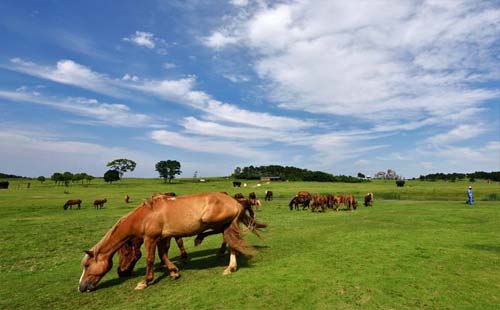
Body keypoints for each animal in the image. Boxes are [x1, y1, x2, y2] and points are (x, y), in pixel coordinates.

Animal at [78, 193, 264, 292]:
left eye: (87, 265)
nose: (81, 287)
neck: (145, 216)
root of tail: (236, 201)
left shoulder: (150, 239)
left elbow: (150, 259)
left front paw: (145, 282)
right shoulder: (162, 238)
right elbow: (163, 255)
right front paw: (174, 272)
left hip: (214, 221)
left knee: (226, 237)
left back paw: (202, 241)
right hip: (225, 224)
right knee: (231, 241)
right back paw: (230, 266)